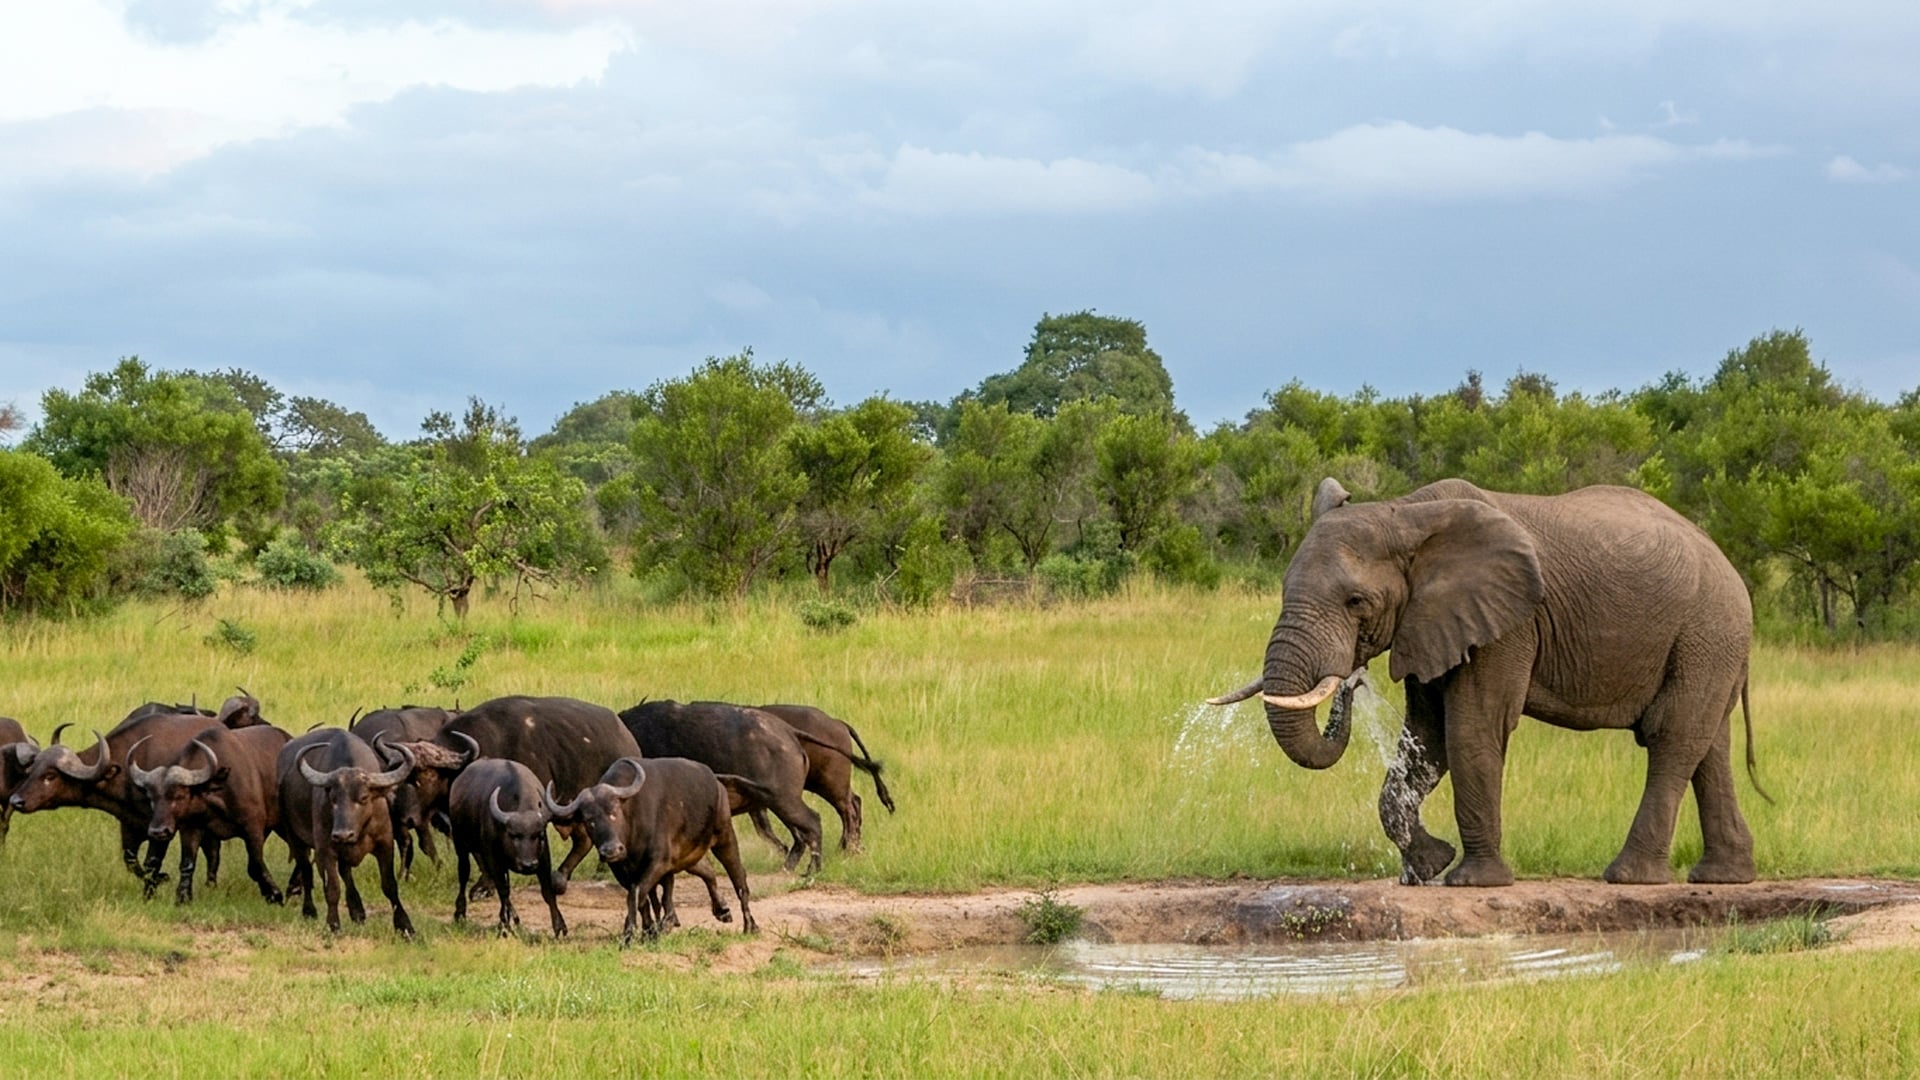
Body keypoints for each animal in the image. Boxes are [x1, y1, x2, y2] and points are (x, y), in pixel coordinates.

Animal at [277, 728, 415, 936]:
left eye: (364, 797)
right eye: (333, 798)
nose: (342, 834)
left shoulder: (385, 844)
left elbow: (389, 885)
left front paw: (405, 926)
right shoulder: (326, 849)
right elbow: (332, 889)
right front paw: (333, 925)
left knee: (345, 872)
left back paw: (357, 911)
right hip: (295, 838)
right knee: (308, 872)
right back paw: (310, 911)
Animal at [544, 757, 757, 942]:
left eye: (614, 812)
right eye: (590, 821)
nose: (611, 850)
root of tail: (716, 783)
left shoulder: (658, 862)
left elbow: (637, 895)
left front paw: (629, 934)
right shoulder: (622, 870)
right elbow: (643, 899)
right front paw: (648, 930)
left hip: (725, 837)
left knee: (739, 878)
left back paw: (749, 926)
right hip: (688, 856)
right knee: (707, 871)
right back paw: (721, 910)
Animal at [1212, 477, 1765, 888]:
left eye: (1355, 601)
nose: (1352, 682)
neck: (1405, 513)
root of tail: (1729, 566)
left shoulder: (1508, 623)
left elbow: (1471, 730)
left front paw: (1471, 880)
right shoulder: (1432, 622)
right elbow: (1426, 737)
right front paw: (1426, 868)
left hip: (1707, 630)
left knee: (1672, 737)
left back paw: (1630, 877)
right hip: (1708, 643)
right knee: (1708, 746)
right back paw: (1724, 877)